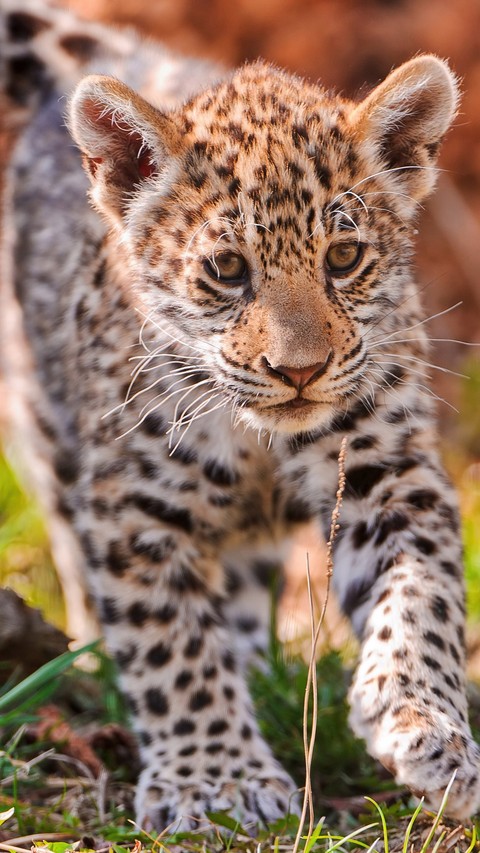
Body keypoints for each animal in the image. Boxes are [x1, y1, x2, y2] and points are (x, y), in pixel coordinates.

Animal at [1, 0, 479, 831]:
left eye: (344, 258)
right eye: (227, 270)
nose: (300, 371)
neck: (259, 437)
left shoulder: (388, 471)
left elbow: (421, 594)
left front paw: (426, 723)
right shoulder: (135, 507)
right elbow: (171, 644)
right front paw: (215, 780)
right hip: (40, 421)